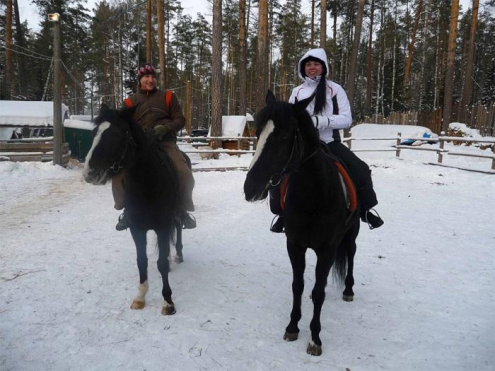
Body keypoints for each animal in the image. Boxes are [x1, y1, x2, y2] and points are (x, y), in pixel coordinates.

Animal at [83, 104, 184, 316]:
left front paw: (167, 302)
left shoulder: (162, 226)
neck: (147, 184)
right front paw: (140, 297)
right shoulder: (137, 228)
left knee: (179, 229)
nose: (89, 173)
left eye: (116, 136)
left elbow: (161, 263)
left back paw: (178, 255)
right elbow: (142, 261)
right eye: (94, 133)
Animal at [244, 91, 360, 358]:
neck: (314, 195)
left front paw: (315, 338)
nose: (250, 187)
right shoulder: (295, 244)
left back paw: (348, 290)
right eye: (258, 132)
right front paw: (292, 327)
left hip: (352, 233)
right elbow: (298, 285)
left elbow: (319, 292)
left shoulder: (327, 249)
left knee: (350, 253)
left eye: (284, 135)